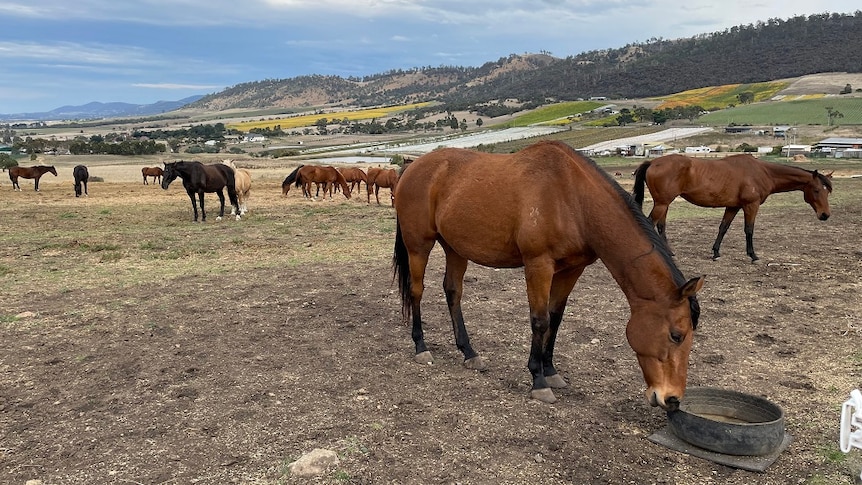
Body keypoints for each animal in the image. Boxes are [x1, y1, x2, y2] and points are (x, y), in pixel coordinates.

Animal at [394, 140, 704, 408]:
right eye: (676, 335)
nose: (672, 399)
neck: (572, 199)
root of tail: (412, 167)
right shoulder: (538, 265)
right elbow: (540, 320)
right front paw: (538, 380)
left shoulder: (571, 269)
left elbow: (555, 318)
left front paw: (551, 370)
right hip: (419, 244)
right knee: (417, 290)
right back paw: (421, 346)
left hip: (455, 248)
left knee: (453, 292)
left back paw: (469, 352)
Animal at [636, 154, 832, 260]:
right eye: (816, 190)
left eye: (827, 191)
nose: (825, 215)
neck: (762, 172)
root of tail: (653, 162)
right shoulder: (751, 205)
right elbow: (749, 229)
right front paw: (753, 255)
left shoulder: (733, 207)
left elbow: (723, 228)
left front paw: (716, 252)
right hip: (662, 203)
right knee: (650, 223)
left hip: (664, 203)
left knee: (661, 226)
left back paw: (669, 253)